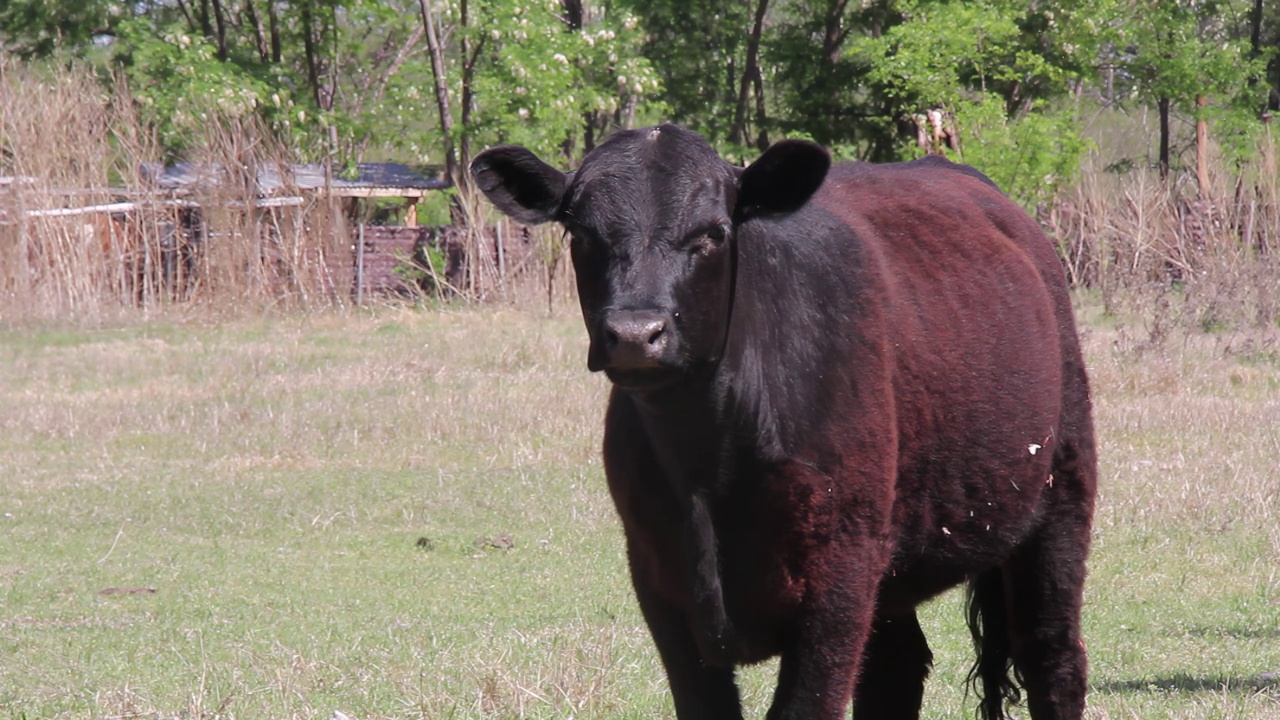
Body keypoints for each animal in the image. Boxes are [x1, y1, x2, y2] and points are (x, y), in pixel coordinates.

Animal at [476, 122, 1095, 717]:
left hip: (1060, 494)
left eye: (712, 233)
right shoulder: (658, 579)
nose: (634, 333)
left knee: (1051, 656)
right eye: (580, 234)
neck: (707, 459)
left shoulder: (839, 574)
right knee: (896, 669)